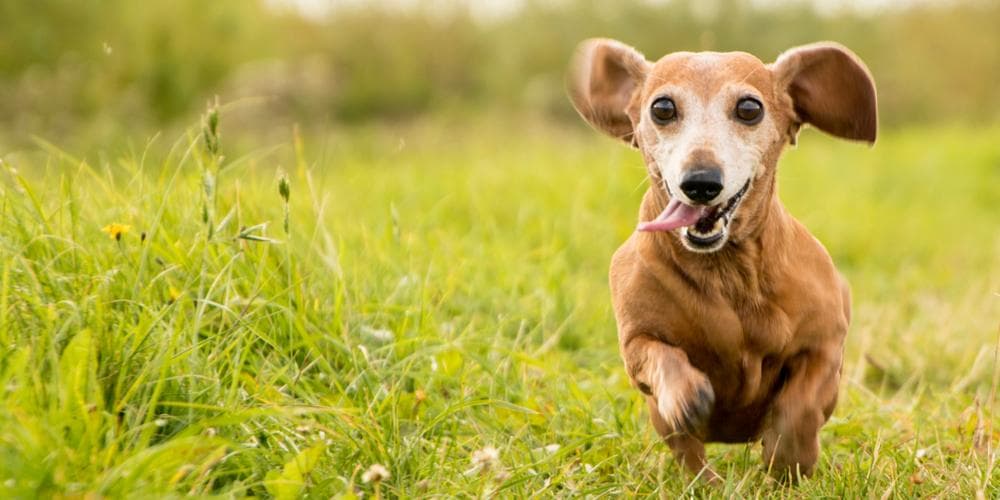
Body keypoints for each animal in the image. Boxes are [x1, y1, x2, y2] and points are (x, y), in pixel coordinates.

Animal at [572, 40, 876, 480]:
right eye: (662, 108)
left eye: (749, 108)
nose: (701, 182)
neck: (727, 272)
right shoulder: (636, 343)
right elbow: (661, 356)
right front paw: (685, 392)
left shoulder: (824, 345)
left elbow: (799, 410)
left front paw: (790, 460)